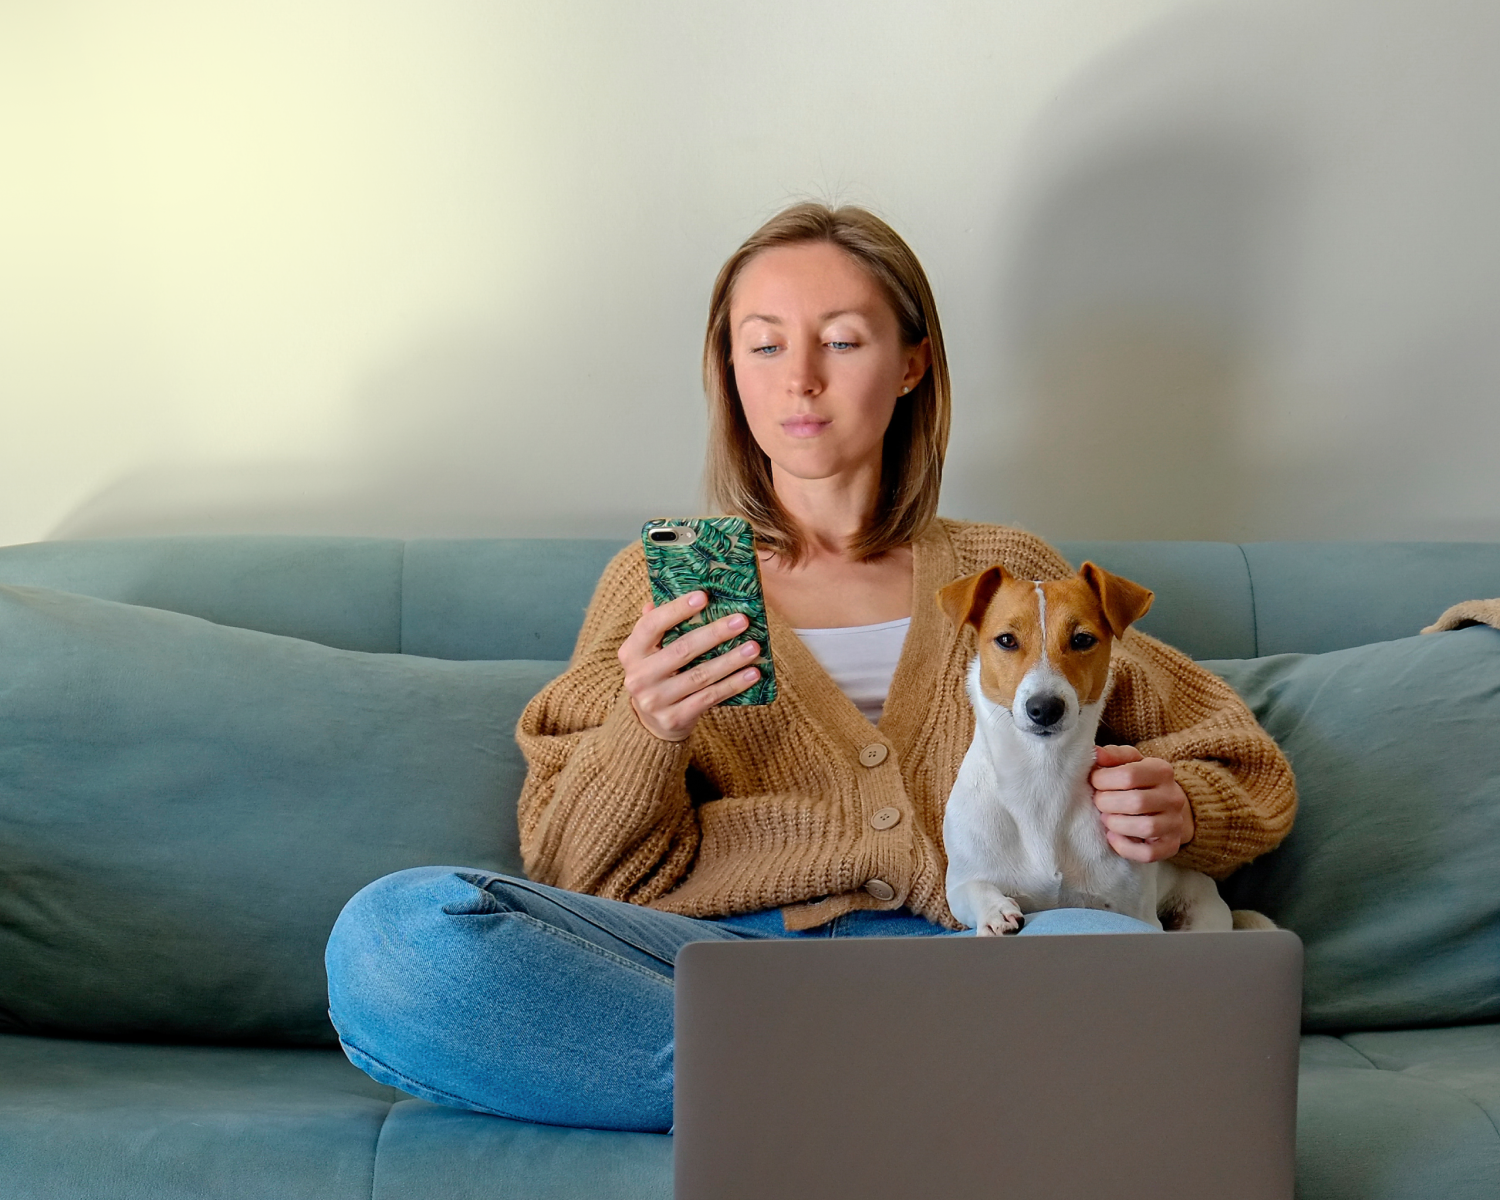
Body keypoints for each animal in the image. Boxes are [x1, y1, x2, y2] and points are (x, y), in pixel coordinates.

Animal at [936, 564, 1266, 936]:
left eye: (1082, 639)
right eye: (1006, 640)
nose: (1045, 708)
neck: (1041, 775)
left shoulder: (1135, 911)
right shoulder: (962, 883)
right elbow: (973, 889)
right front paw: (995, 911)